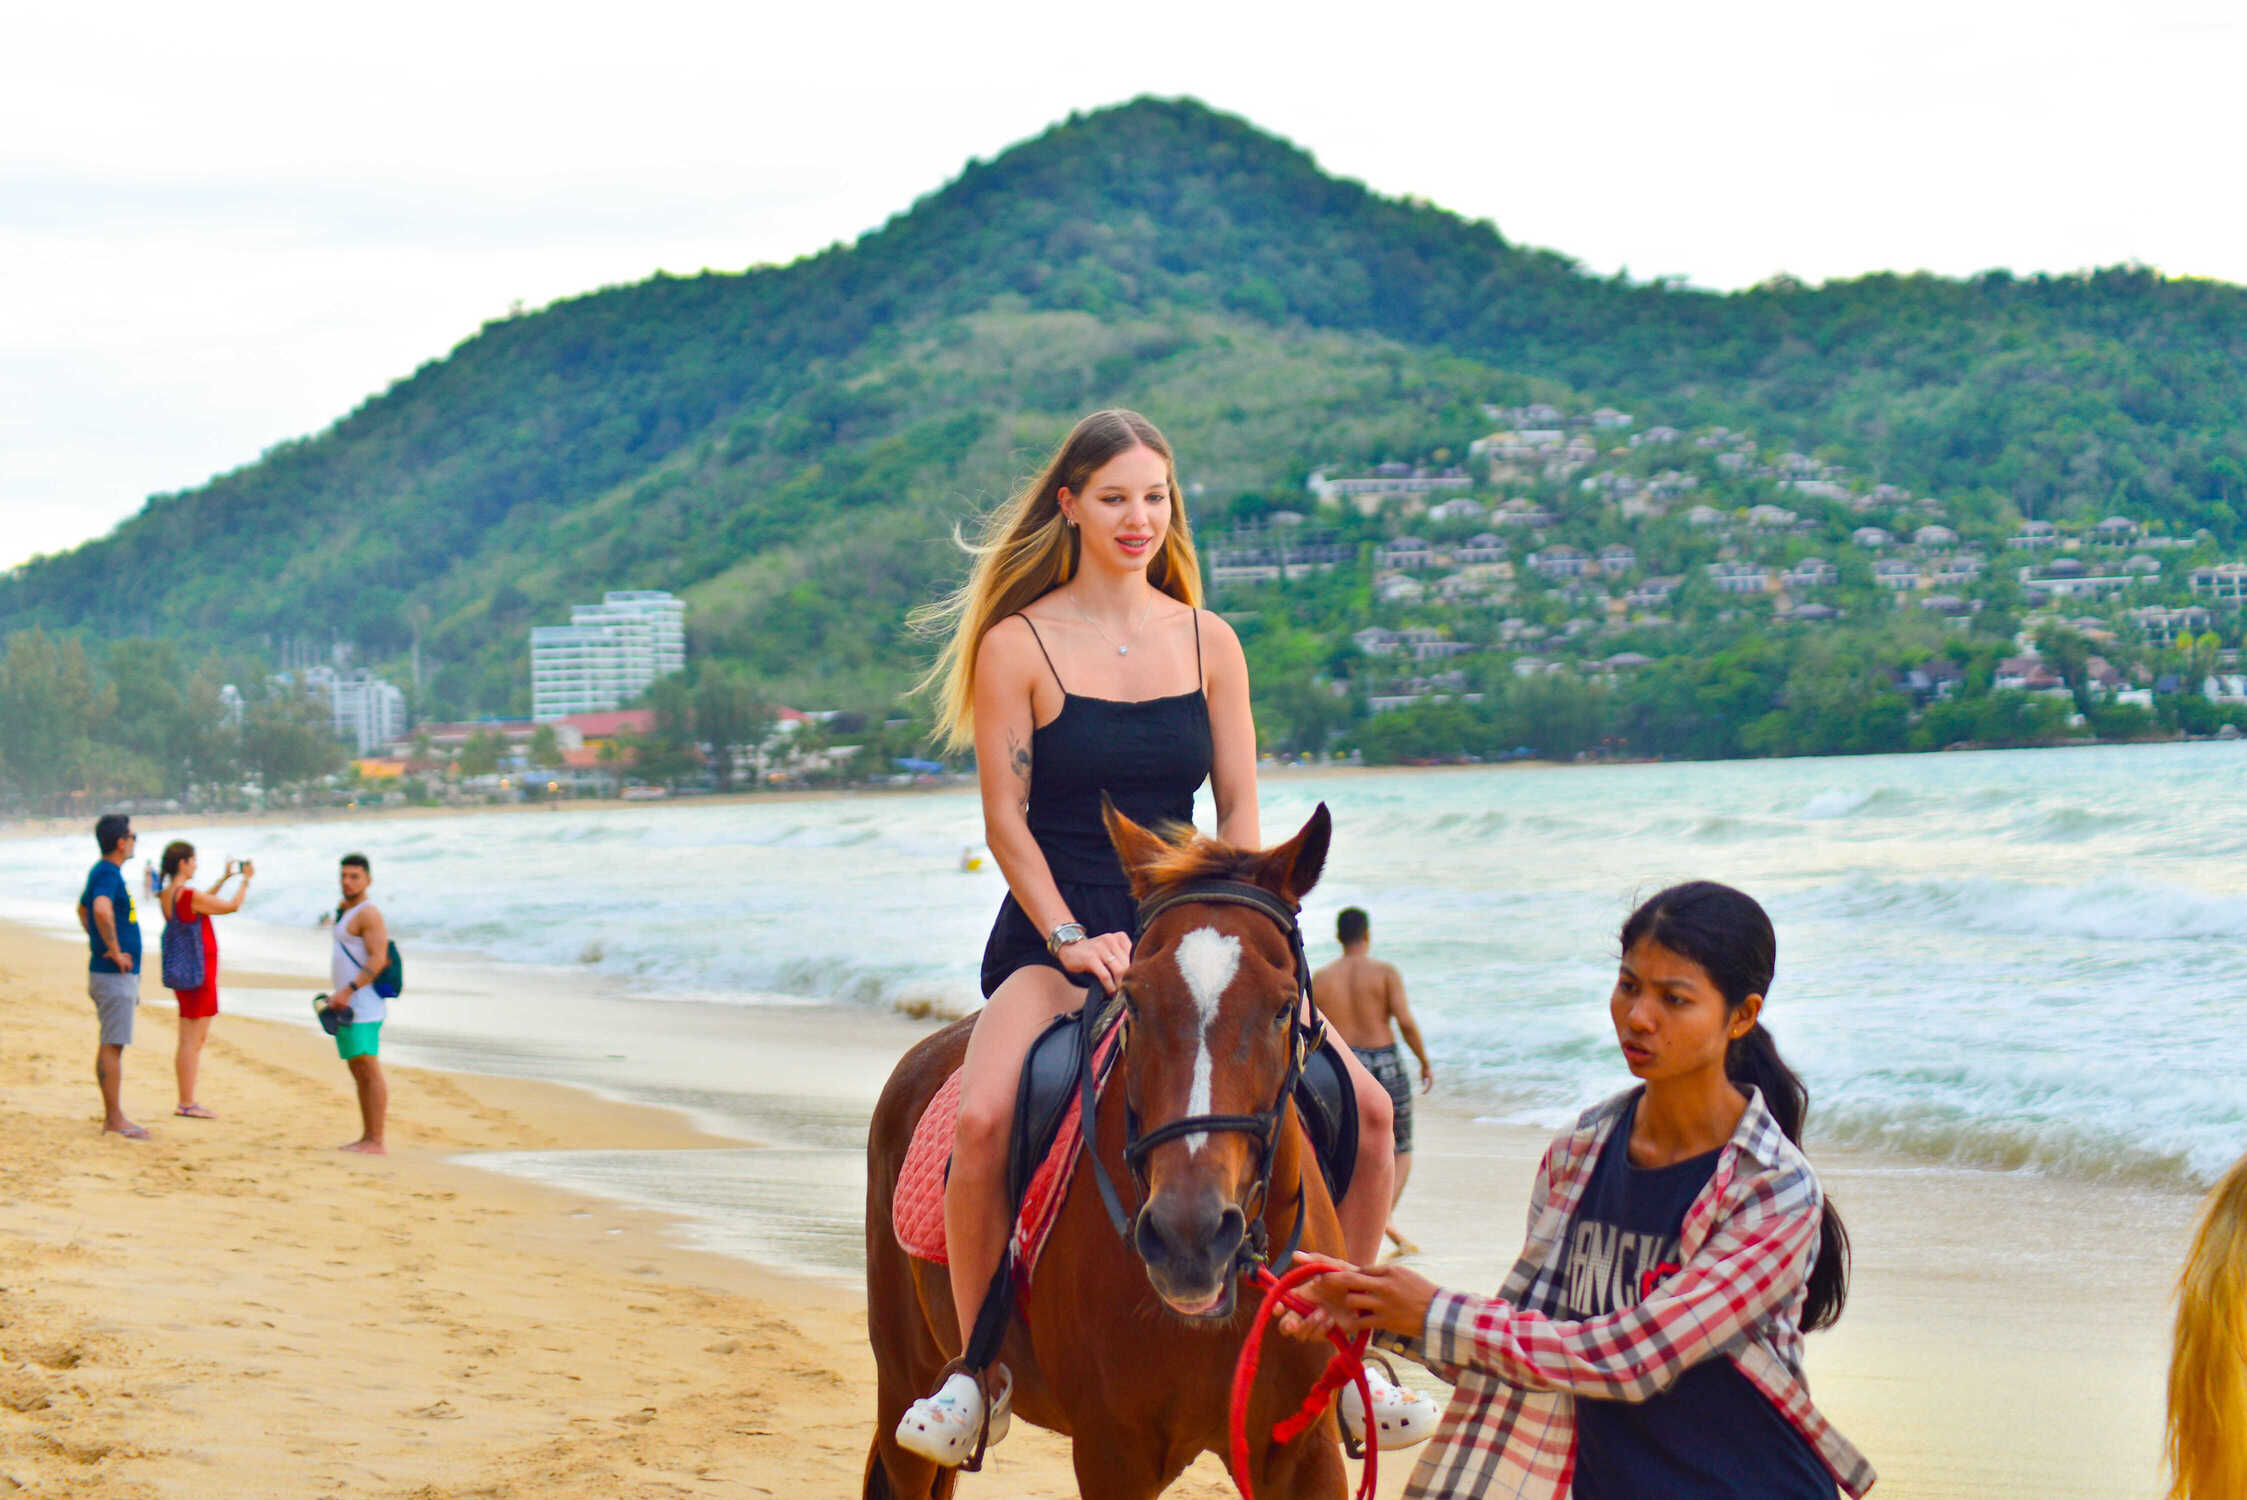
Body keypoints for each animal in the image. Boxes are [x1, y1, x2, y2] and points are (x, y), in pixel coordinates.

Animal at [858, 808, 1348, 1500]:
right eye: (1135, 1001)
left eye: (1284, 1008)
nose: (1189, 1238)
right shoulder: (1111, 1453)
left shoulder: (1305, 1453)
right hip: (903, 1376)